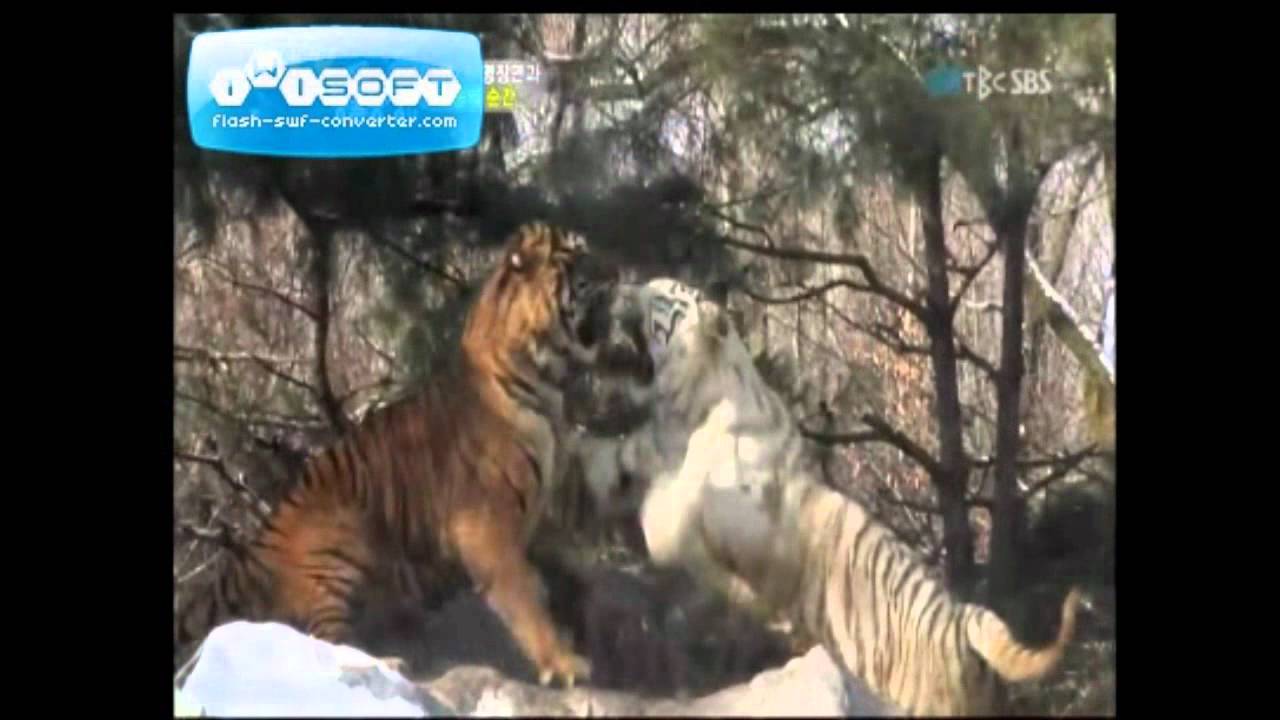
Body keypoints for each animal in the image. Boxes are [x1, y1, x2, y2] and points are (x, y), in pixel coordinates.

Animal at [175, 221, 622, 689]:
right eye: (575, 253)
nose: (620, 271)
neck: (548, 379)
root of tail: (259, 545)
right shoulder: (486, 523)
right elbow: (524, 597)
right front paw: (563, 662)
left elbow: (555, 574)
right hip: (338, 555)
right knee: (324, 644)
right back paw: (388, 664)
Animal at [573, 277, 1083, 715]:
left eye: (661, 296)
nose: (616, 287)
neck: (681, 410)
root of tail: (962, 618)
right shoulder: (636, 452)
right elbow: (601, 460)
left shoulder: (744, 516)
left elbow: (675, 517)